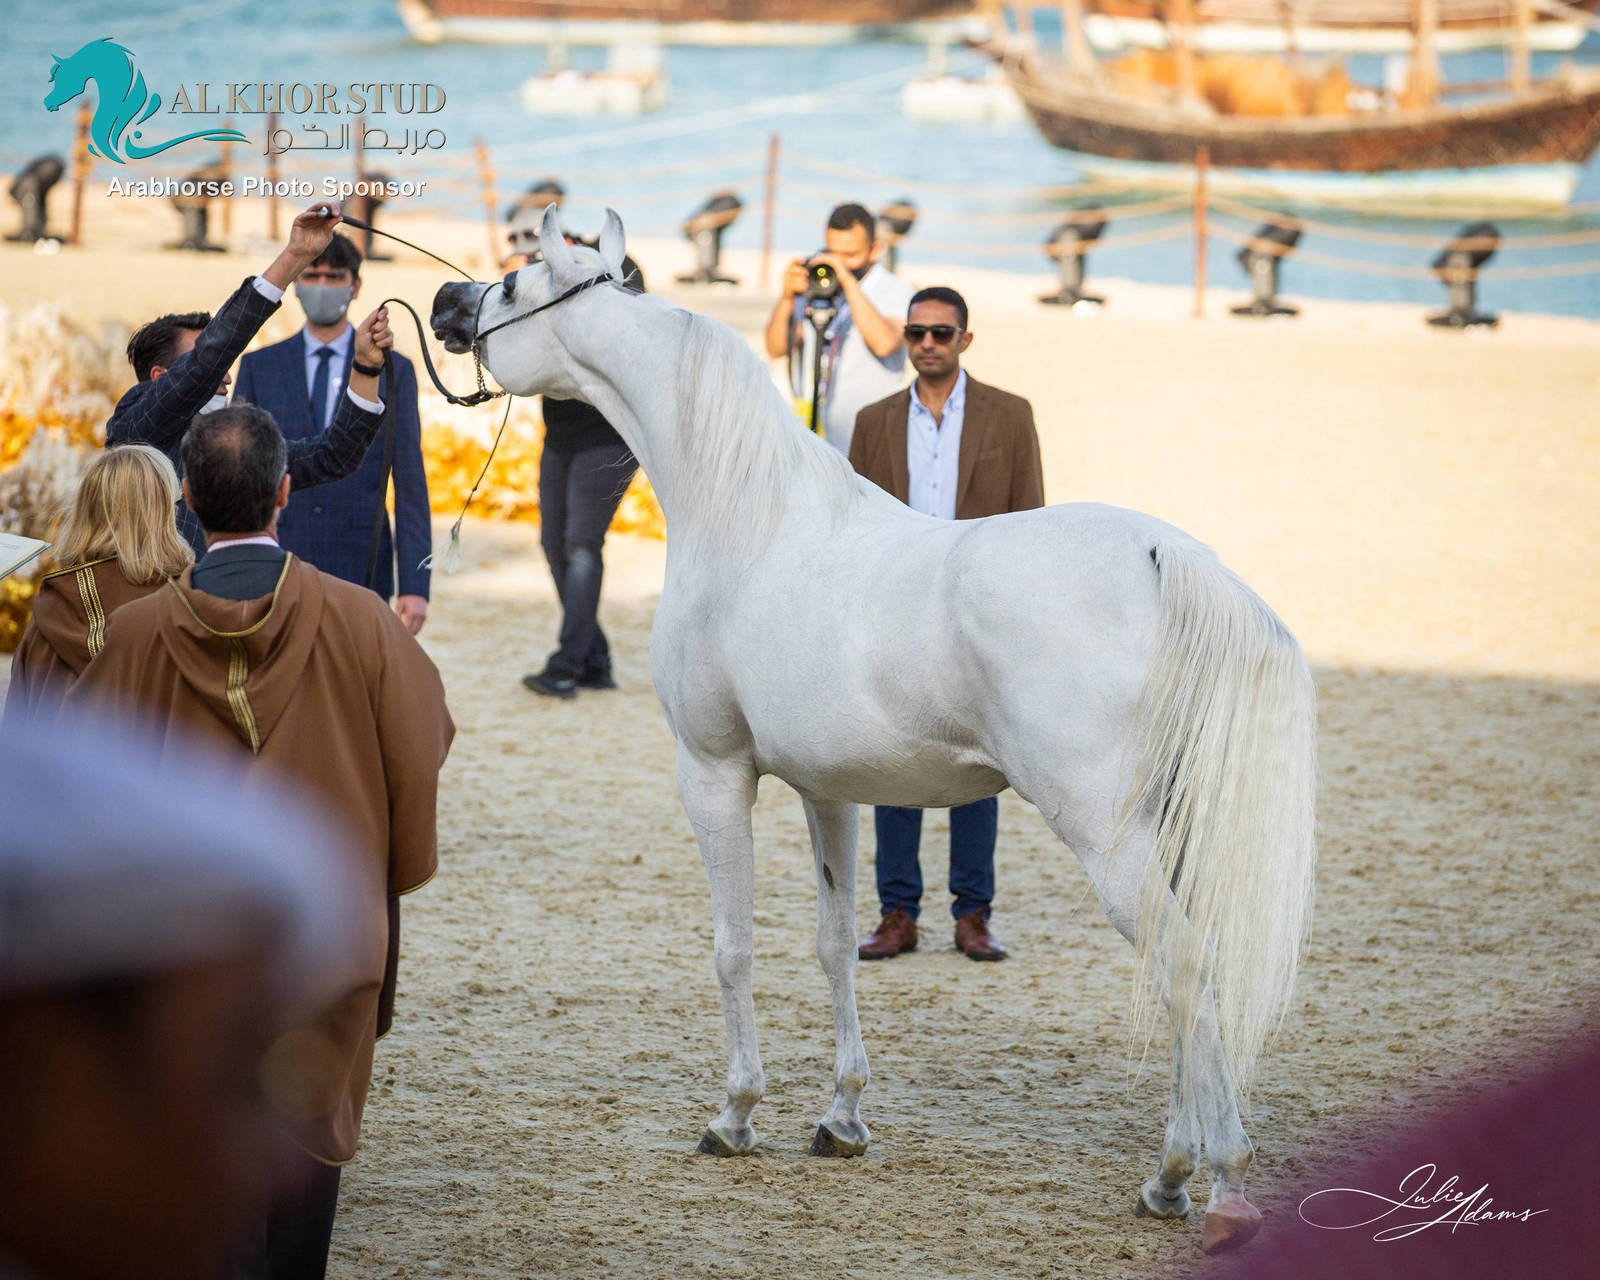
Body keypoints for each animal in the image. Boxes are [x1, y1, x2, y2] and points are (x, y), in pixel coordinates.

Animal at [430, 206, 1318, 1255]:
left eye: (514, 282)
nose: (444, 303)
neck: (753, 522)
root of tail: (1160, 554)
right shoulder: (831, 791)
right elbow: (832, 942)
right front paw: (842, 1118)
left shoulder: (713, 772)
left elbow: (732, 946)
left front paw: (735, 1116)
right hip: (1165, 825)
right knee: (1191, 967)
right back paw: (1171, 1177)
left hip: (1105, 830)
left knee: (1178, 959)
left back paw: (1211, 1180)